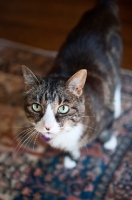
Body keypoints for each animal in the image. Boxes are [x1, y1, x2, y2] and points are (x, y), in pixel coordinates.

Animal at [21, 0, 122, 168]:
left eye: (63, 108)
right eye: (36, 106)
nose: (47, 126)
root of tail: (103, 7)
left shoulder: (104, 115)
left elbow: (107, 127)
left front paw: (109, 142)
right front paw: (71, 156)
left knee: (117, 80)